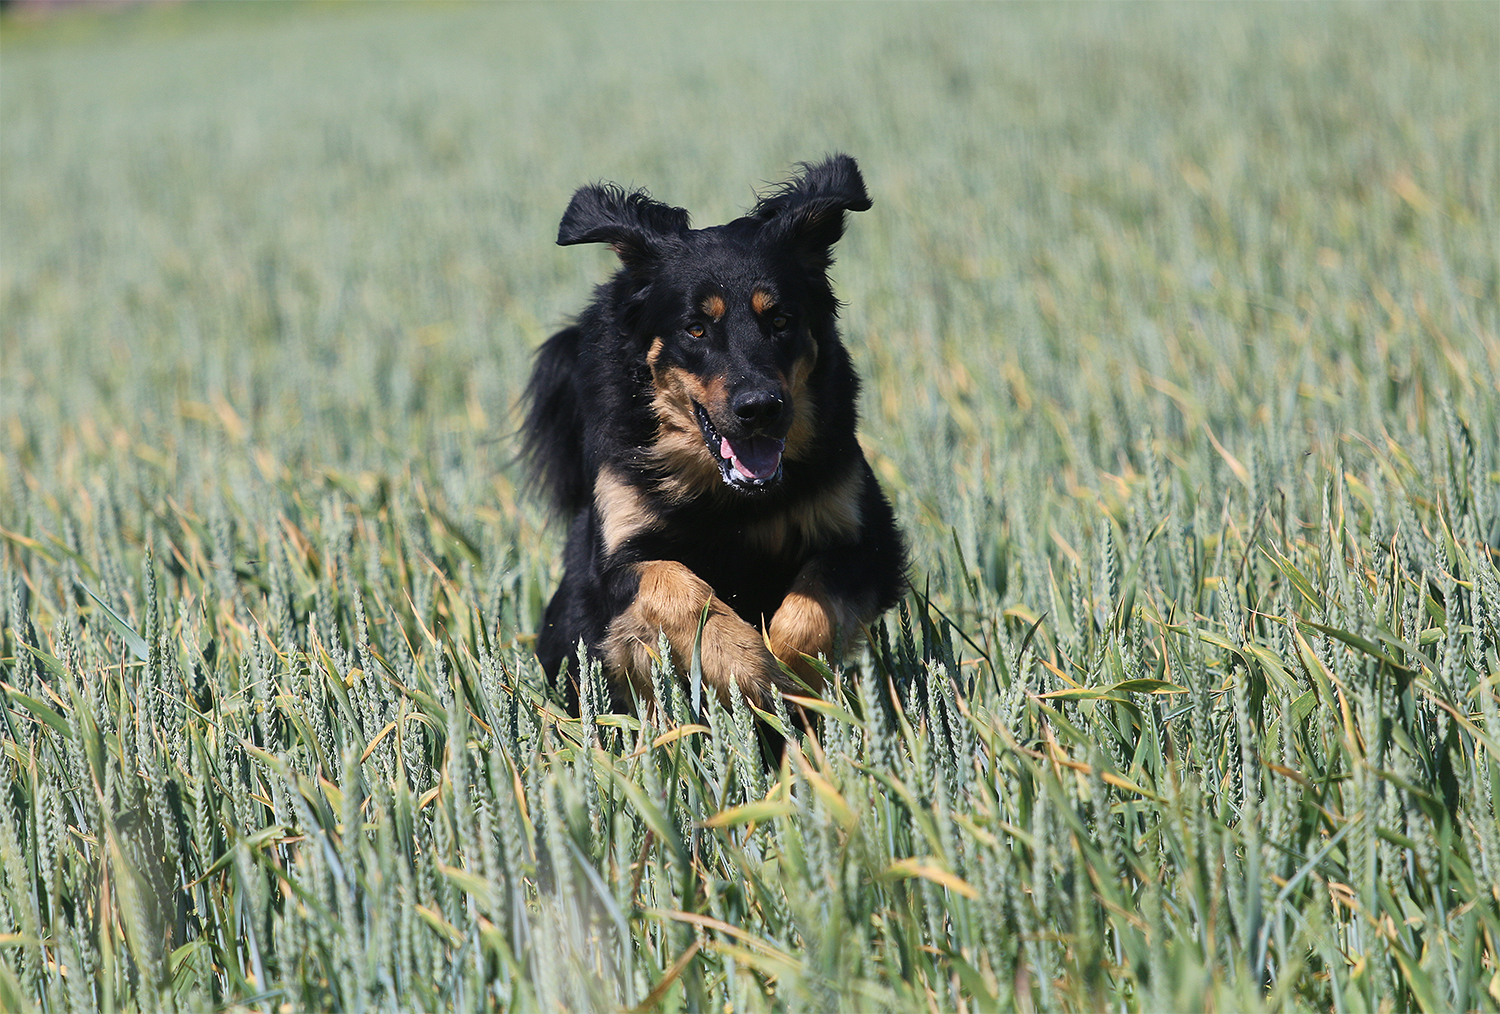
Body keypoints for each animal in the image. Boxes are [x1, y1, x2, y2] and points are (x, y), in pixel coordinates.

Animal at [522, 154, 906, 713]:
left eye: (781, 320)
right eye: (696, 329)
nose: (760, 408)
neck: (731, 502)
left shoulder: (868, 541)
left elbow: (811, 603)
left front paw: (784, 678)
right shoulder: (616, 562)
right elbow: (677, 585)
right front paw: (746, 666)